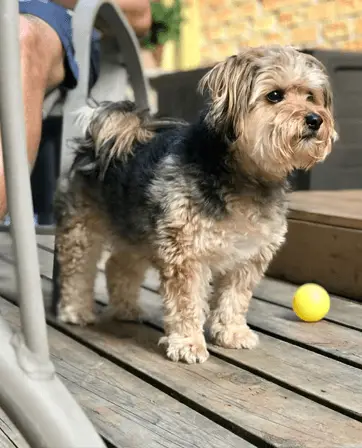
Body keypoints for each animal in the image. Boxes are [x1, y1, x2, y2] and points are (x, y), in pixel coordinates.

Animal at [55, 44, 338, 364]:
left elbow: (234, 298)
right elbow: (187, 302)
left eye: (310, 96)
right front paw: (188, 343)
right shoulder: (185, 254)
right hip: (83, 230)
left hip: (137, 231)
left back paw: (126, 309)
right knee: (77, 270)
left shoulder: (249, 256)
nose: (315, 119)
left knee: (118, 265)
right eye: (275, 95)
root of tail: (99, 142)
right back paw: (76, 311)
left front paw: (231, 333)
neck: (244, 178)